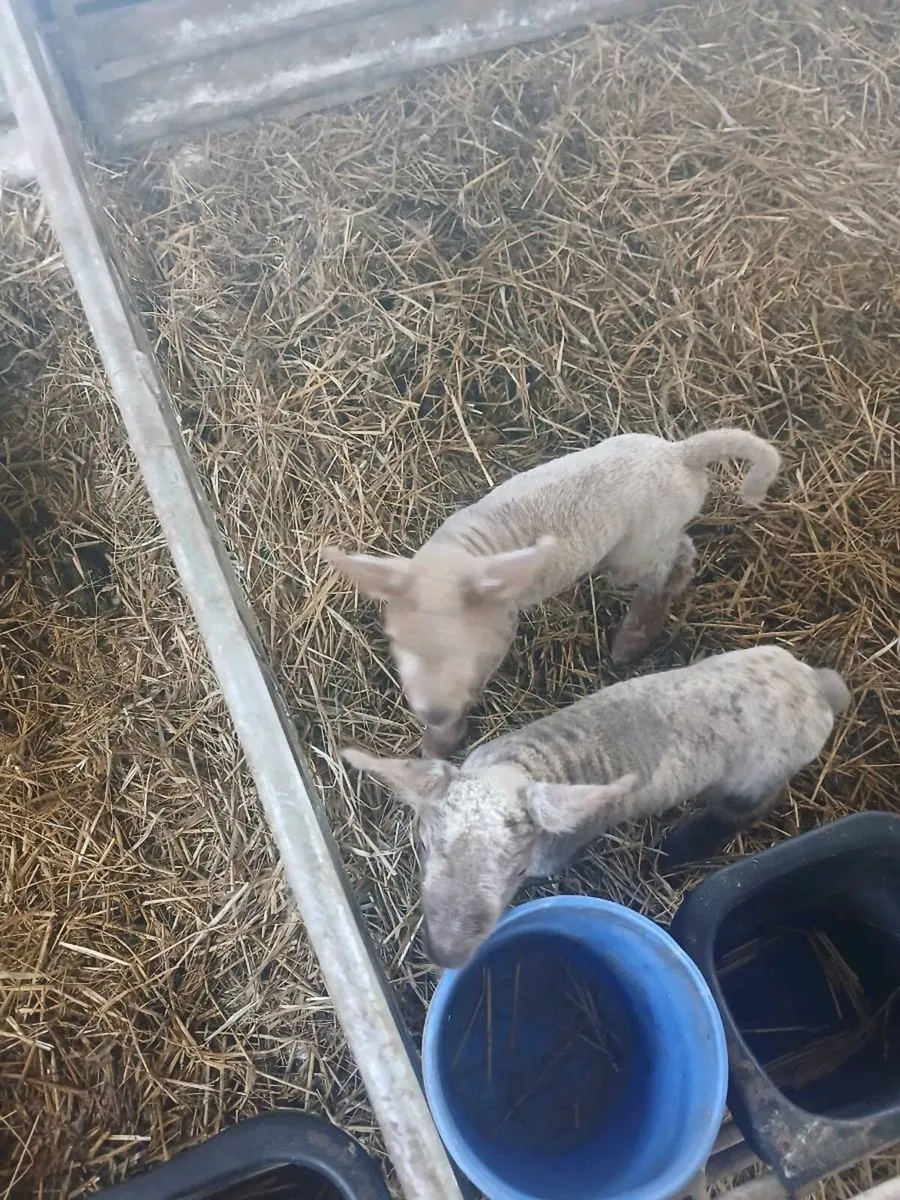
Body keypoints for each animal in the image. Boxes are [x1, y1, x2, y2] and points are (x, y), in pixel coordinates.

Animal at [325, 428, 781, 757]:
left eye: (465, 649)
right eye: (396, 641)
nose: (433, 713)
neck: (463, 552)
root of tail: (678, 453)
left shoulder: (497, 633)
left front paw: (440, 743)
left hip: (638, 546)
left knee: (664, 563)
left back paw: (632, 640)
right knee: (682, 550)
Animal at [342, 644, 849, 969]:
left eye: (519, 871)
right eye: (425, 846)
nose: (447, 956)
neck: (526, 767)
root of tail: (818, 685)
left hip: (758, 776)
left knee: (742, 813)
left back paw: (677, 852)